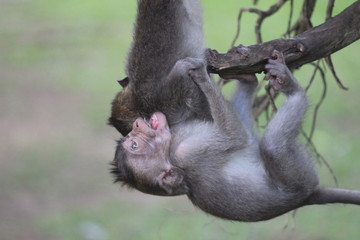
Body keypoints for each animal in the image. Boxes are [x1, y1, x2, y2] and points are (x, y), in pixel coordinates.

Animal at [108, 0, 360, 221]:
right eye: (134, 145)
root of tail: (308, 197)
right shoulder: (189, 153)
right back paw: (290, 87)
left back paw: (248, 79)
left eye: (130, 139)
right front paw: (200, 76)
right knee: (271, 146)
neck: (171, 146)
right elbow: (234, 136)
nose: (138, 125)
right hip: (299, 178)